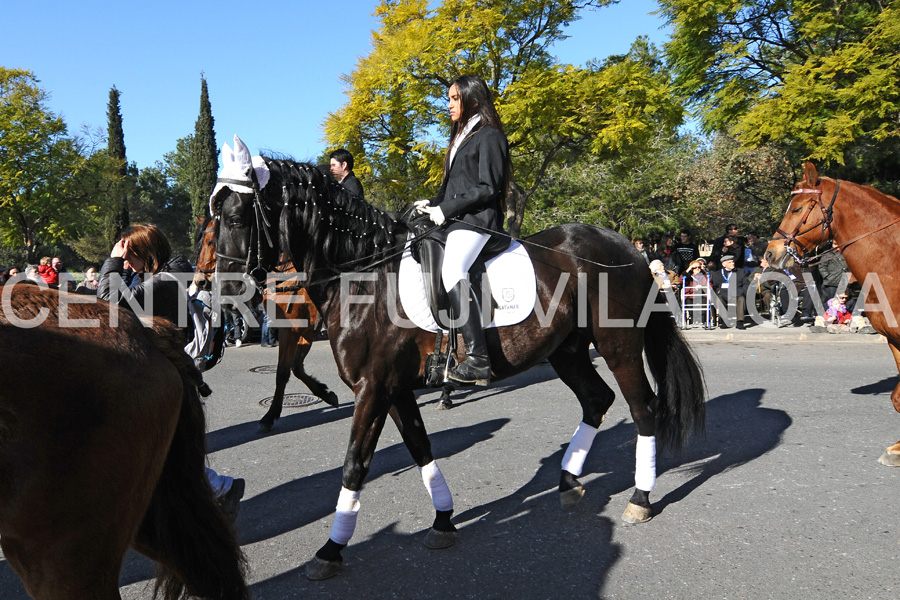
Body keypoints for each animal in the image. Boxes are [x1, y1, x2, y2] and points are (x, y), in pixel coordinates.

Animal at [195, 216, 340, 432]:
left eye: (211, 242)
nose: (199, 281)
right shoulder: (305, 329)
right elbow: (296, 367)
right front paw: (325, 393)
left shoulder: (293, 330)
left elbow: (282, 372)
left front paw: (271, 415)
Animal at [214, 155, 708, 580]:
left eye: (235, 219)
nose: (223, 291)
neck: (363, 279)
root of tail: (629, 248)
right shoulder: (394, 388)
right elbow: (420, 449)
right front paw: (443, 520)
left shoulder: (372, 388)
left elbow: (355, 464)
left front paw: (331, 549)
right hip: (566, 351)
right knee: (597, 400)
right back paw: (569, 481)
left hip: (618, 345)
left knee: (643, 408)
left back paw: (640, 497)